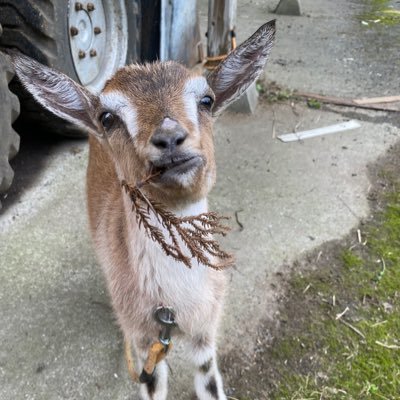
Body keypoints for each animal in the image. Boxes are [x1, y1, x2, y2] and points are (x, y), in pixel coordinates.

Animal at [11, 21, 276, 400]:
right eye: (108, 117)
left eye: (207, 100)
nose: (169, 138)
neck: (176, 307)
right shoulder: (145, 345)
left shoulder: (206, 333)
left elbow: (209, 382)